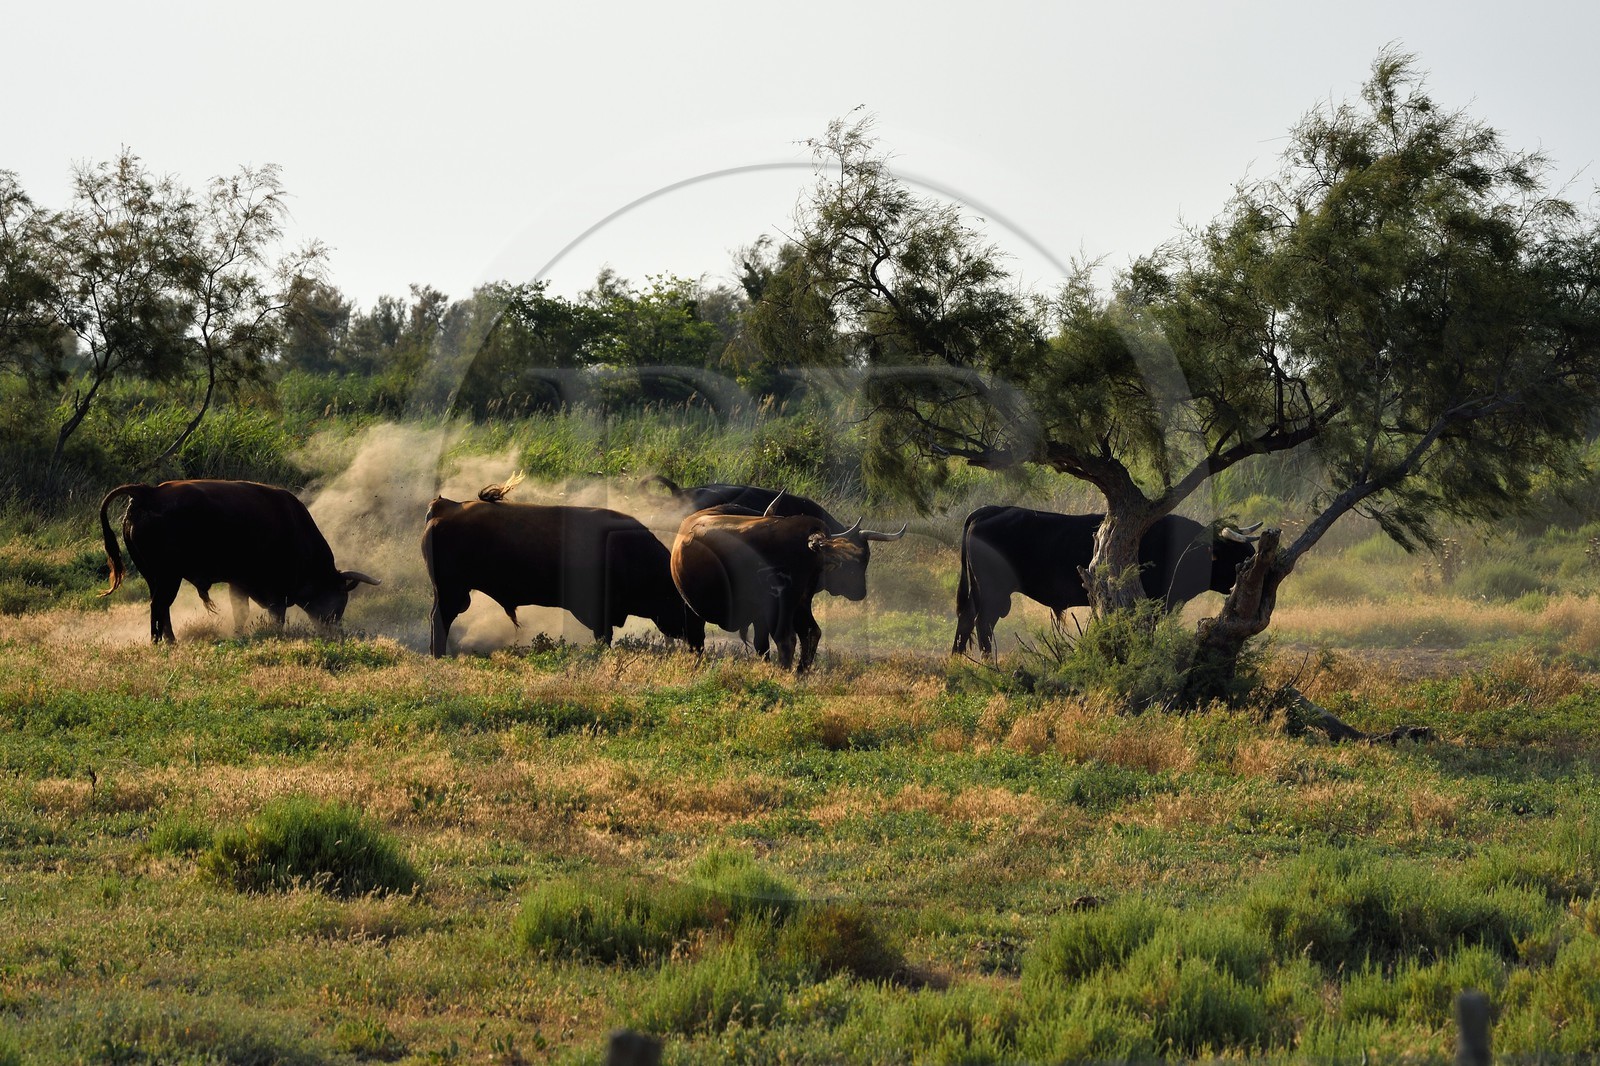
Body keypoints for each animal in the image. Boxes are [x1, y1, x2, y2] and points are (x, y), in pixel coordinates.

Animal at [98, 479, 380, 644]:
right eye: (340, 598)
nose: (334, 630)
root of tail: (149, 493)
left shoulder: (239, 583)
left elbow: (240, 613)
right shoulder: (275, 592)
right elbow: (275, 616)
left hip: (156, 577)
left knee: (160, 607)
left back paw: (167, 641)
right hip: (169, 577)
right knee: (160, 605)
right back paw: (164, 642)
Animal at [421, 481, 704, 657]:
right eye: (687, 608)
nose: (699, 644)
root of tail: (446, 506)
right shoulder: (599, 614)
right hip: (452, 593)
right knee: (440, 620)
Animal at [670, 498, 876, 672]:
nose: (860, 591)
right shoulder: (762, 616)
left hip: (782, 605)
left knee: (786, 639)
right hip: (800, 603)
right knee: (810, 632)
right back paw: (800, 672)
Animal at [952, 506, 1262, 658]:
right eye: (1240, 554)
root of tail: (990, 510)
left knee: (966, 621)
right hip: (993, 593)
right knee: (982, 624)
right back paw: (987, 662)